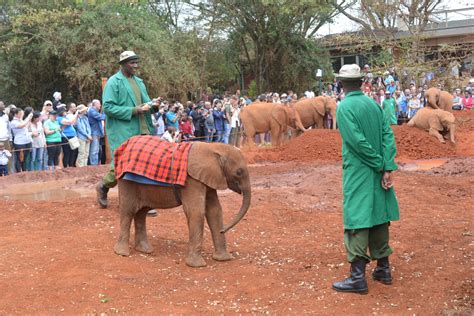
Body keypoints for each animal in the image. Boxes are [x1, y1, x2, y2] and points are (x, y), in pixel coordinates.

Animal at [114, 142, 252, 268]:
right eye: (239, 172)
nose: (223, 230)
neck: (213, 147)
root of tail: (123, 146)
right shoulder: (192, 180)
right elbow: (196, 212)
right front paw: (197, 265)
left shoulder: (208, 177)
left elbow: (215, 210)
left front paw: (224, 259)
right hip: (127, 182)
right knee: (128, 212)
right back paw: (122, 253)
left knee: (141, 212)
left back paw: (145, 250)